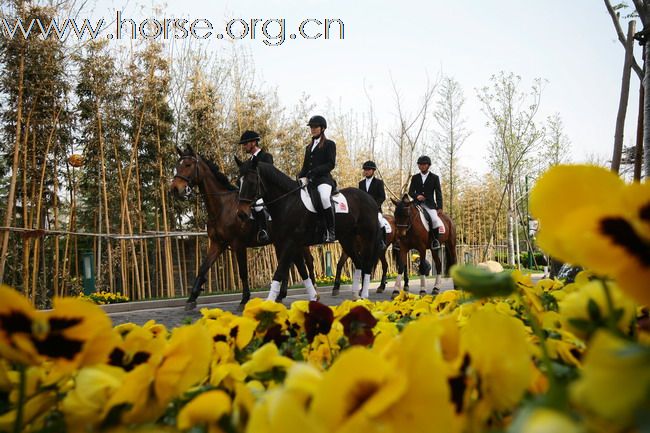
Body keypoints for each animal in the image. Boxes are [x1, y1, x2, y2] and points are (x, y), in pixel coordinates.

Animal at [168, 147, 312, 308]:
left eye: (188, 165)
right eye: (177, 165)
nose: (175, 189)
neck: (222, 207)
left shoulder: (238, 244)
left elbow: (243, 272)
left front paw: (244, 299)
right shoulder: (217, 244)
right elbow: (203, 268)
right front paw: (192, 298)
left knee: (307, 262)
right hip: (281, 242)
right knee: (288, 264)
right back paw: (281, 295)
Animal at [237, 159, 380, 300]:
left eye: (251, 182)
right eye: (238, 182)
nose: (241, 214)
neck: (288, 203)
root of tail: (369, 198)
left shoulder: (290, 243)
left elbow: (280, 271)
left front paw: (269, 302)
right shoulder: (292, 244)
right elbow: (302, 271)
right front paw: (314, 297)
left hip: (367, 237)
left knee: (367, 264)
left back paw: (364, 295)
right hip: (347, 239)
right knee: (359, 263)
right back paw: (356, 295)